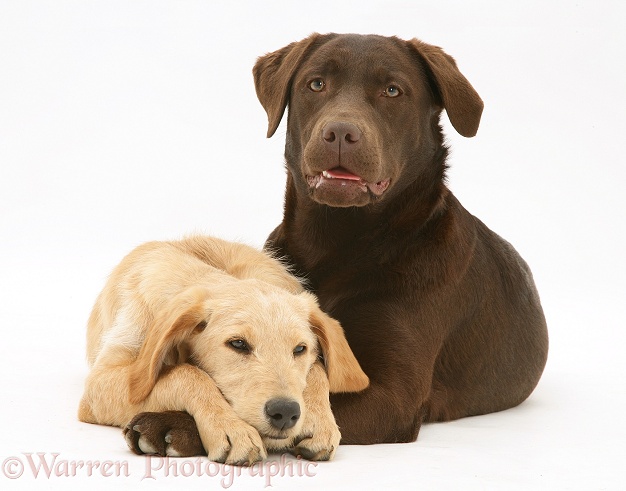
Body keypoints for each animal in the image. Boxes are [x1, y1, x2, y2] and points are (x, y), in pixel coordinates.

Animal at [80, 237, 368, 466]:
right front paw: (232, 429)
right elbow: (186, 373)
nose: (285, 412)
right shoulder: (100, 385)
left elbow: (318, 369)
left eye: (300, 349)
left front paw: (319, 422)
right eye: (238, 344)